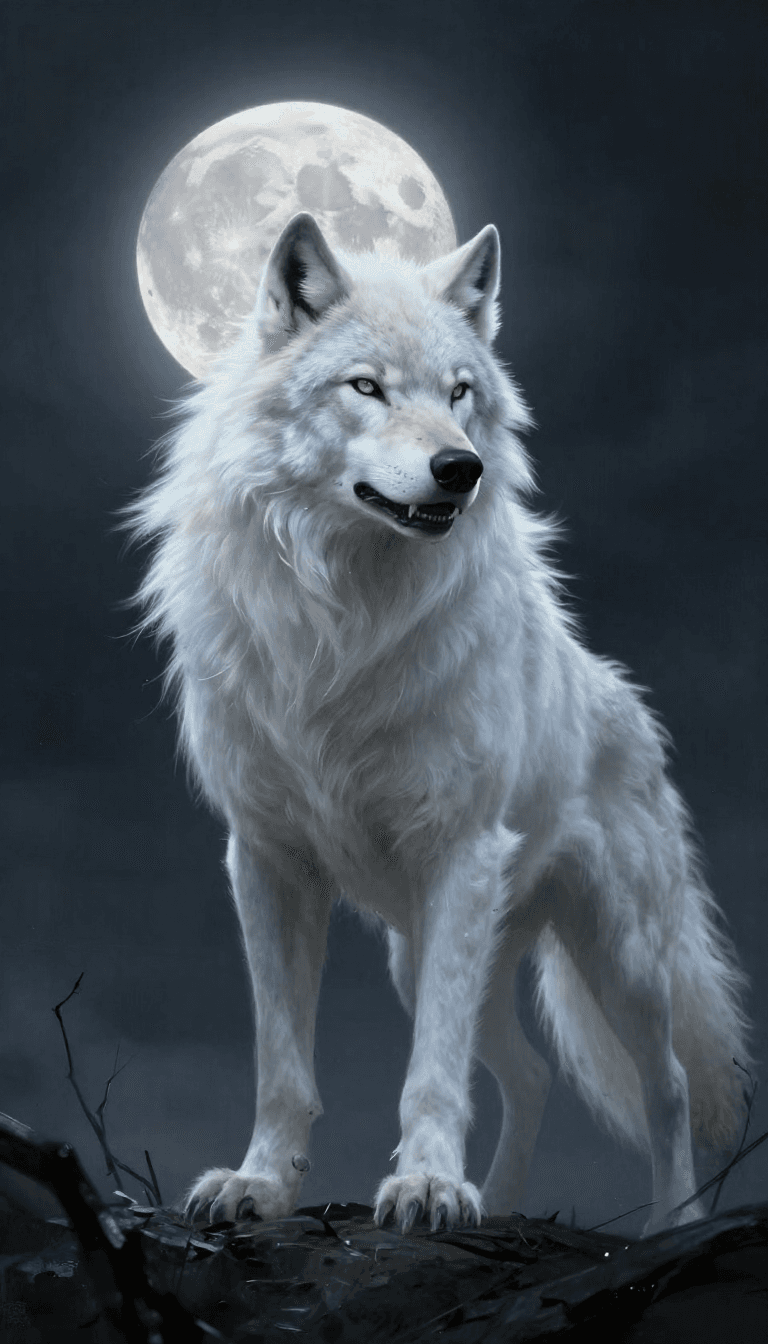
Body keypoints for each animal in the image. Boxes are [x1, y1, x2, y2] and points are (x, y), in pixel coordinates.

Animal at [125, 212, 753, 1237]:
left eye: (461, 392)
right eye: (366, 387)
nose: (463, 467)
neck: (341, 626)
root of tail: (622, 692)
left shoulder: (459, 850)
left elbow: (429, 1074)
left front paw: (424, 1186)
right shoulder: (265, 859)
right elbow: (282, 1064)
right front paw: (260, 1185)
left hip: (614, 952)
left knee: (662, 1084)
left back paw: (672, 1225)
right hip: (421, 957)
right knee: (531, 1077)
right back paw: (501, 1205)